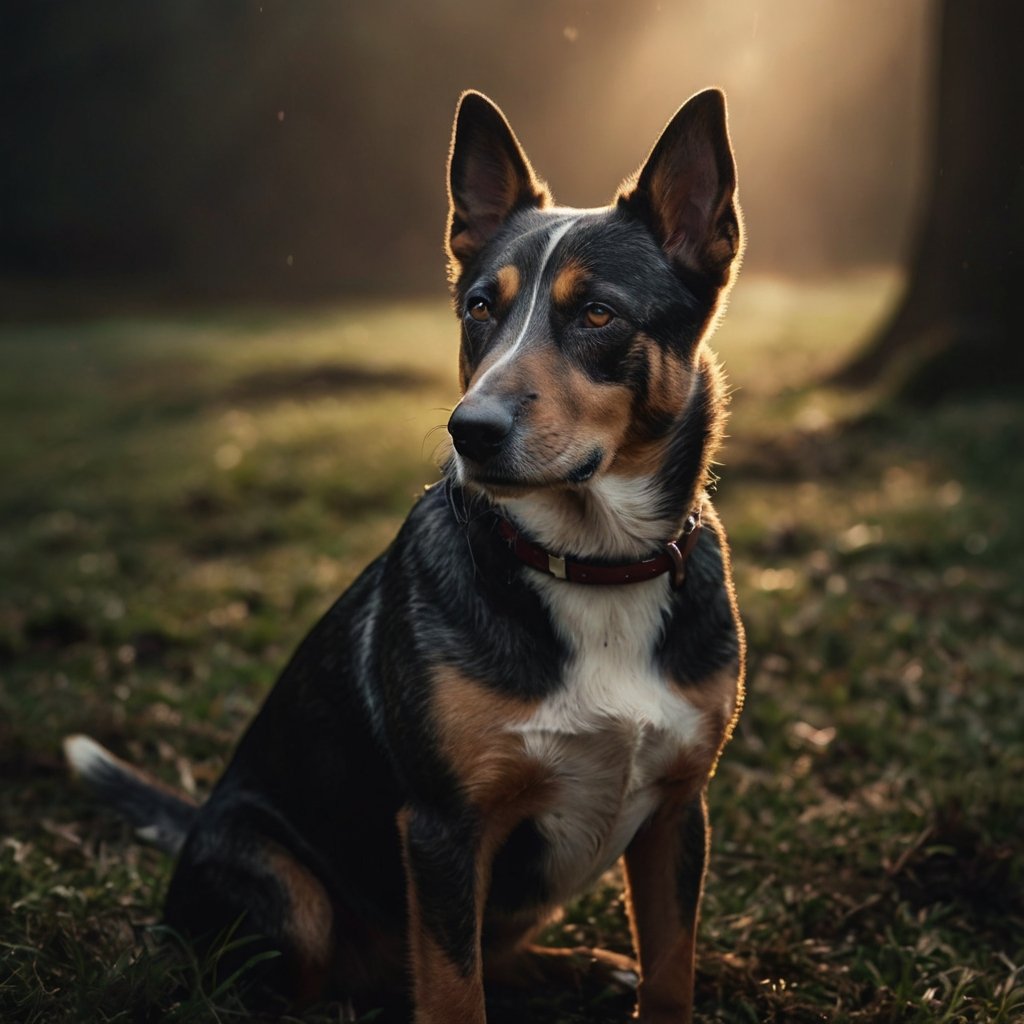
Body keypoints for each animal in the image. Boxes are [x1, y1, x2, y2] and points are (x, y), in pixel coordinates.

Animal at [64, 90, 745, 1024]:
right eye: (480, 309)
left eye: (598, 314)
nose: (472, 430)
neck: (589, 565)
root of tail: (199, 821)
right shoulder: (442, 827)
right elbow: (454, 989)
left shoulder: (681, 812)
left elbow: (670, 967)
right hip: (284, 886)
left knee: (499, 952)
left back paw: (578, 964)